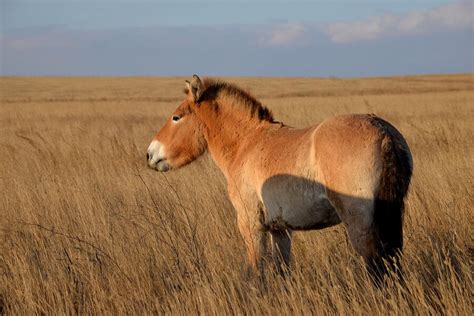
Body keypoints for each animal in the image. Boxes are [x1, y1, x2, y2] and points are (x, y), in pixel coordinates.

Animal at [147, 74, 412, 282]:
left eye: (176, 117)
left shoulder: (251, 226)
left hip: (360, 225)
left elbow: (257, 270)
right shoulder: (280, 230)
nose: (150, 154)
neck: (247, 144)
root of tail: (383, 133)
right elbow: (282, 271)